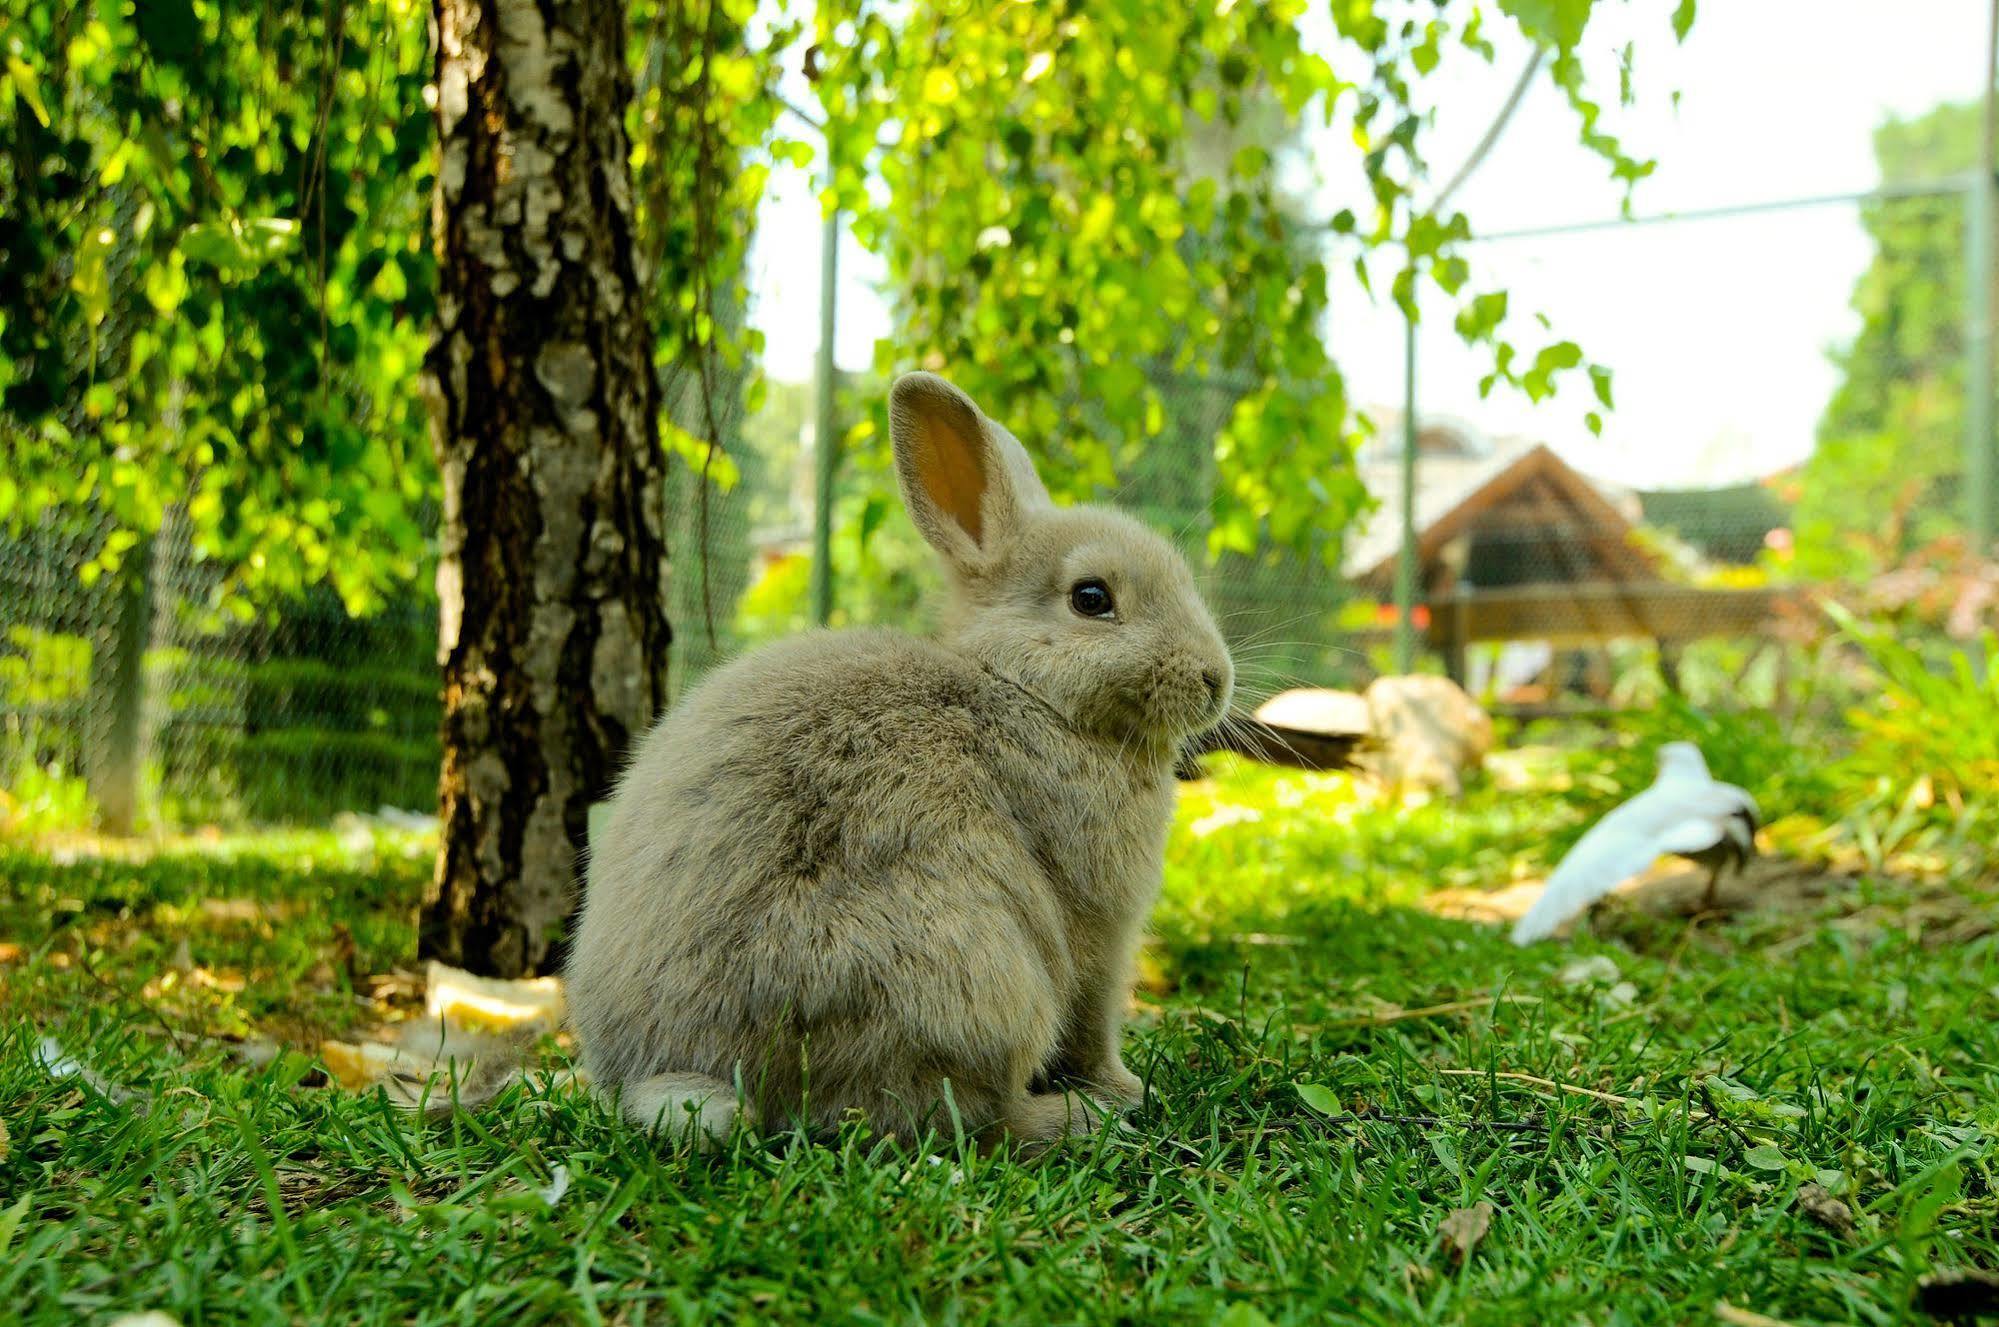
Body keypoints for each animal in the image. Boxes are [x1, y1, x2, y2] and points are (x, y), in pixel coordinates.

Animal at [563, 367, 1231, 1143]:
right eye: (1091, 598)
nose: (1215, 678)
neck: (1026, 690)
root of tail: (684, 1073)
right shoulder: (1100, 930)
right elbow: (1094, 1025)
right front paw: (1124, 1086)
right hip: (976, 976)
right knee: (968, 1114)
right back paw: (1076, 1116)